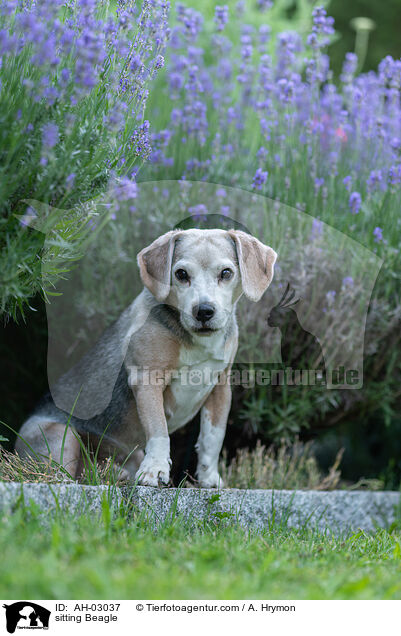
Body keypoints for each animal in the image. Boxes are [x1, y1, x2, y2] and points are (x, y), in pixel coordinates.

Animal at [16, 229, 278, 486]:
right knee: (61, 472)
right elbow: (158, 430)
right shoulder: (147, 381)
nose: (204, 311)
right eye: (181, 274)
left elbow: (212, 438)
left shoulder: (220, 388)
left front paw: (208, 478)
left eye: (226, 273)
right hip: (61, 435)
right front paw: (155, 470)